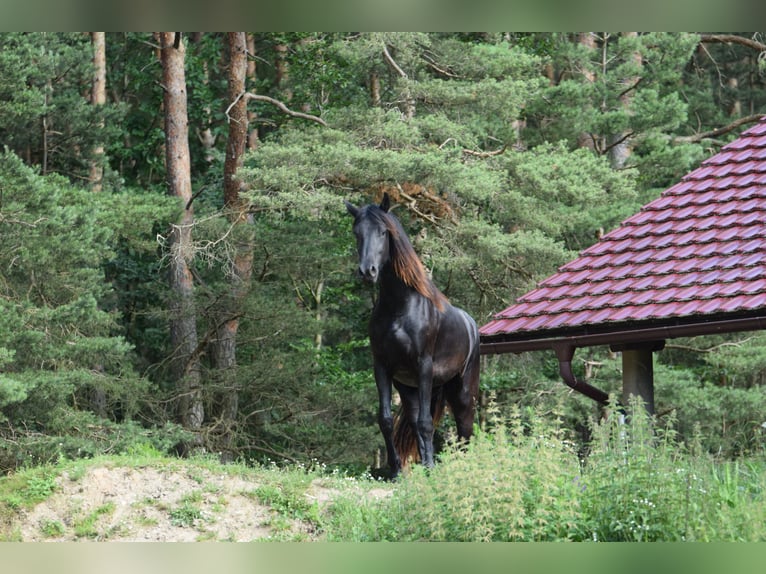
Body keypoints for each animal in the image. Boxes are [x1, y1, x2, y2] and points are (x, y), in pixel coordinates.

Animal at [346, 196, 480, 480]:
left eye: (383, 232)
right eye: (356, 233)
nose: (367, 272)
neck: (399, 307)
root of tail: (472, 325)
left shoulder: (423, 365)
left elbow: (426, 424)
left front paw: (428, 468)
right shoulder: (382, 368)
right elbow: (387, 420)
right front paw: (397, 471)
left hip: (462, 393)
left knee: (464, 430)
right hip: (411, 390)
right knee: (420, 422)